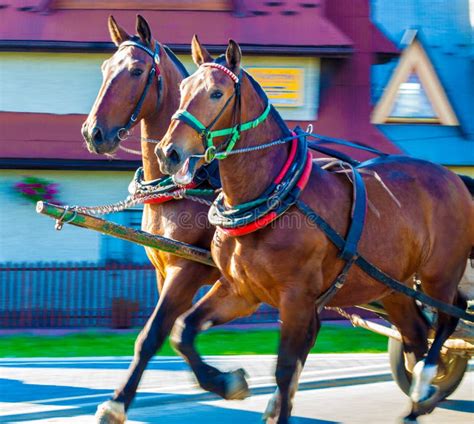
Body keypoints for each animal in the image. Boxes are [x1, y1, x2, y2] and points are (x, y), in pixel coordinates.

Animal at [82, 14, 224, 422]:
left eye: (135, 70)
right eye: (105, 68)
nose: (93, 133)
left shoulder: (188, 269)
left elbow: (155, 332)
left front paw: (118, 401)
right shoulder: (163, 269)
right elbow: (168, 330)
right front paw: (214, 378)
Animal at [156, 37, 474, 424]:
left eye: (217, 93)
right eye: (183, 88)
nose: (168, 152)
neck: (274, 193)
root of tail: (455, 177)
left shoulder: (296, 299)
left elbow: (284, 371)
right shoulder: (240, 291)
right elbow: (182, 331)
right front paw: (227, 382)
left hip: (439, 274)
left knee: (448, 317)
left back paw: (427, 380)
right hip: (393, 286)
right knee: (416, 335)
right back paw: (417, 403)